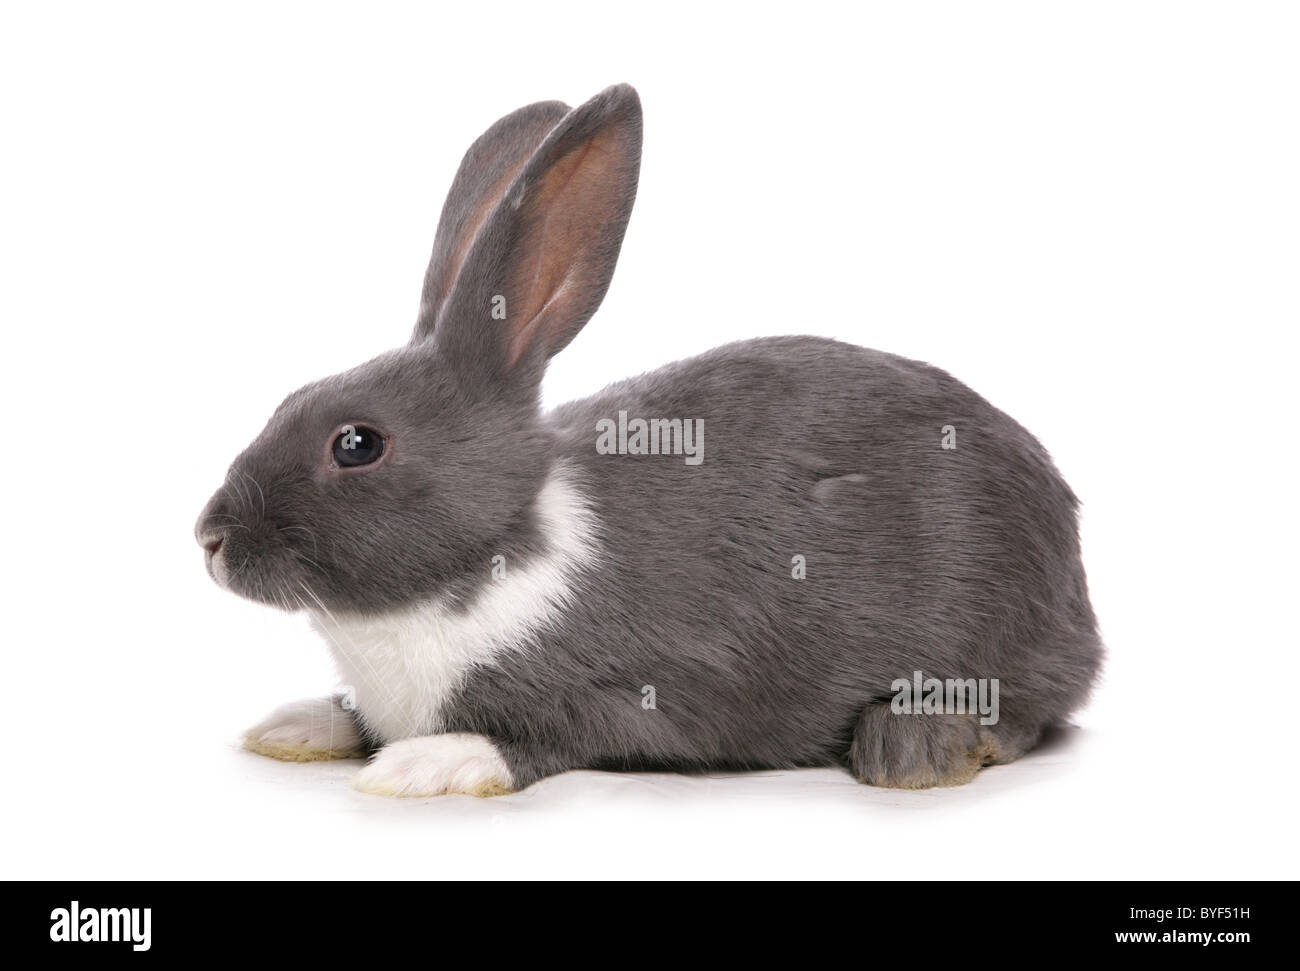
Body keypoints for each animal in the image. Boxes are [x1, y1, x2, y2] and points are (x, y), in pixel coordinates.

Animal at [196, 83, 1102, 797]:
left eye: (358, 443)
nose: (210, 537)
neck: (483, 561)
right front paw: (297, 723)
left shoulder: (643, 691)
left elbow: (543, 737)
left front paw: (426, 764)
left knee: (1028, 712)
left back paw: (914, 743)